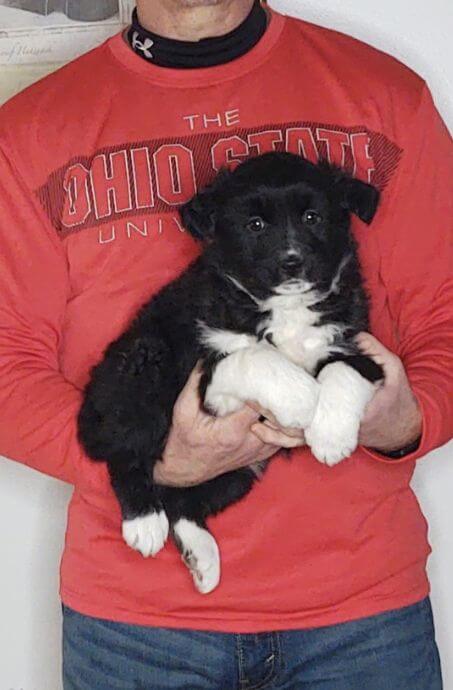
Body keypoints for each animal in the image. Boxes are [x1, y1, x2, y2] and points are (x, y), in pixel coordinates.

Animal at [77, 150, 382, 592]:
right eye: (255, 225)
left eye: (313, 217)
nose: (292, 263)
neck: (285, 308)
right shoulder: (208, 381)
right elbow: (255, 356)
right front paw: (303, 399)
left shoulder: (355, 343)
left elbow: (345, 370)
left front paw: (331, 435)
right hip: (142, 365)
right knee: (128, 454)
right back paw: (144, 522)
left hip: (237, 471)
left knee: (182, 499)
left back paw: (201, 556)